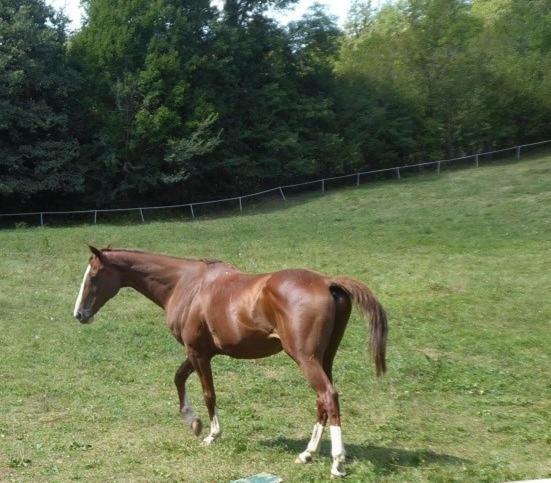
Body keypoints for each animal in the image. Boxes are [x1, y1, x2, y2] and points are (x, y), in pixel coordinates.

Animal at [72, 248, 388, 478]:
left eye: (94, 276)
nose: (79, 314)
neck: (186, 285)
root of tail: (327, 282)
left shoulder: (198, 353)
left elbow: (208, 394)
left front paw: (211, 434)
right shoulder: (200, 353)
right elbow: (178, 378)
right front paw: (194, 422)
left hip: (306, 360)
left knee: (328, 396)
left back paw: (337, 463)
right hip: (324, 359)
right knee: (322, 401)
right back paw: (307, 454)